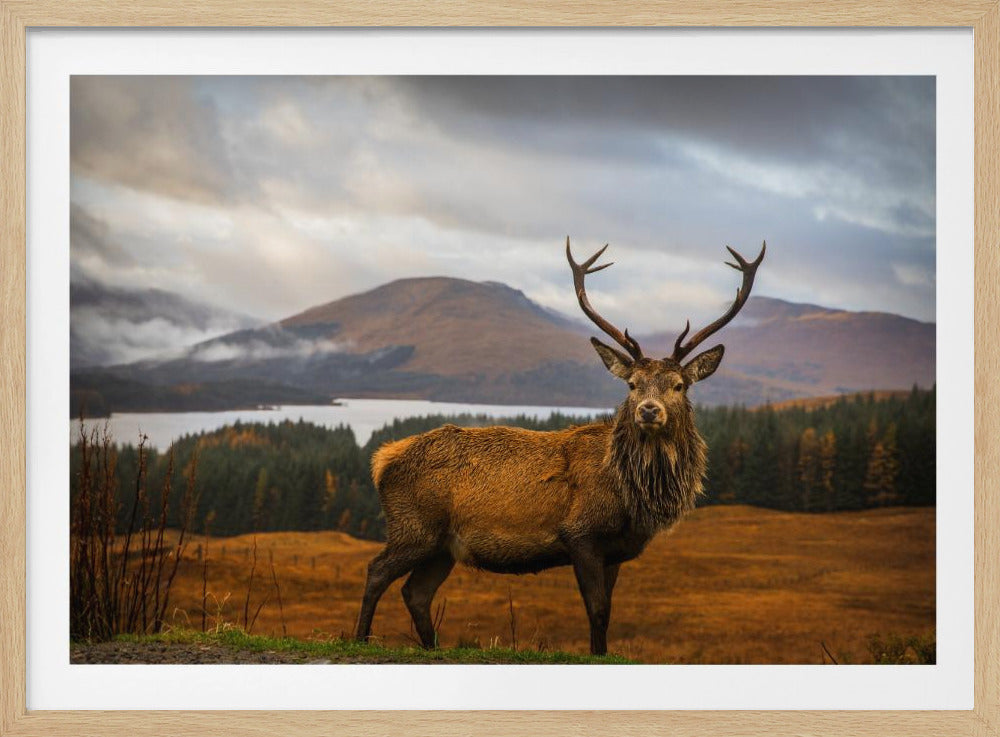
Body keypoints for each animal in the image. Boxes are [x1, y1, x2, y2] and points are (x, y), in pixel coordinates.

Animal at [355, 237, 766, 655]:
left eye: (679, 385)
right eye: (632, 384)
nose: (649, 410)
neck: (632, 497)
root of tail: (382, 459)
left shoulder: (616, 551)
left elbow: (608, 612)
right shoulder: (580, 534)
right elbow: (597, 611)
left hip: (442, 547)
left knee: (416, 593)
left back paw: (431, 647)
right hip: (414, 527)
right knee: (376, 571)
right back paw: (359, 638)